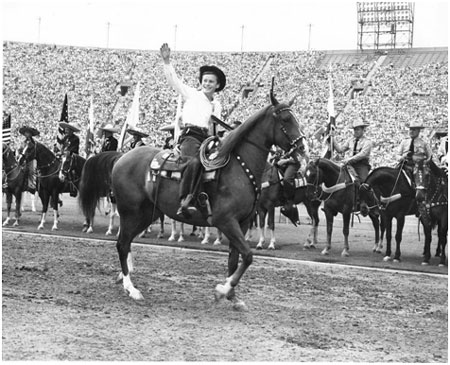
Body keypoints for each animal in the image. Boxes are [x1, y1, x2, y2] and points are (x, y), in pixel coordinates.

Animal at [80, 89, 306, 308]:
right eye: (286, 119)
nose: (303, 147)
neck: (240, 167)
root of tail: (121, 156)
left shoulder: (242, 223)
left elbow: (235, 259)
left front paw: (232, 296)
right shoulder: (226, 221)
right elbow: (248, 256)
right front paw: (222, 290)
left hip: (146, 214)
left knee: (126, 242)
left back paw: (125, 278)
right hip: (130, 211)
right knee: (122, 243)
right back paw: (131, 288)